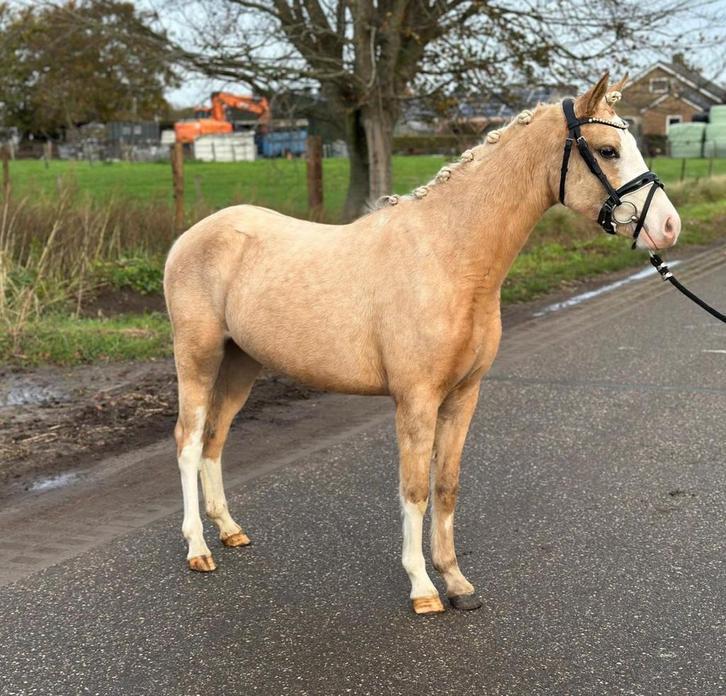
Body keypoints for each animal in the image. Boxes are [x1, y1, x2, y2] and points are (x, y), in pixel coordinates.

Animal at [163, 73, 680, 614]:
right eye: (607, 149)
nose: (668, 227)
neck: (449, 257)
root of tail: (191, 237)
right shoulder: (416, 400)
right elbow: (414, 490)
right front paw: (423, 588)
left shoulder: (463, 396)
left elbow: (445, 486)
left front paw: (456, 582)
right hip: (198, 358)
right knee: (189, 441)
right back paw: (198, 548)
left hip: (241, 363)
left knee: (215, 439)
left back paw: (229, 530)